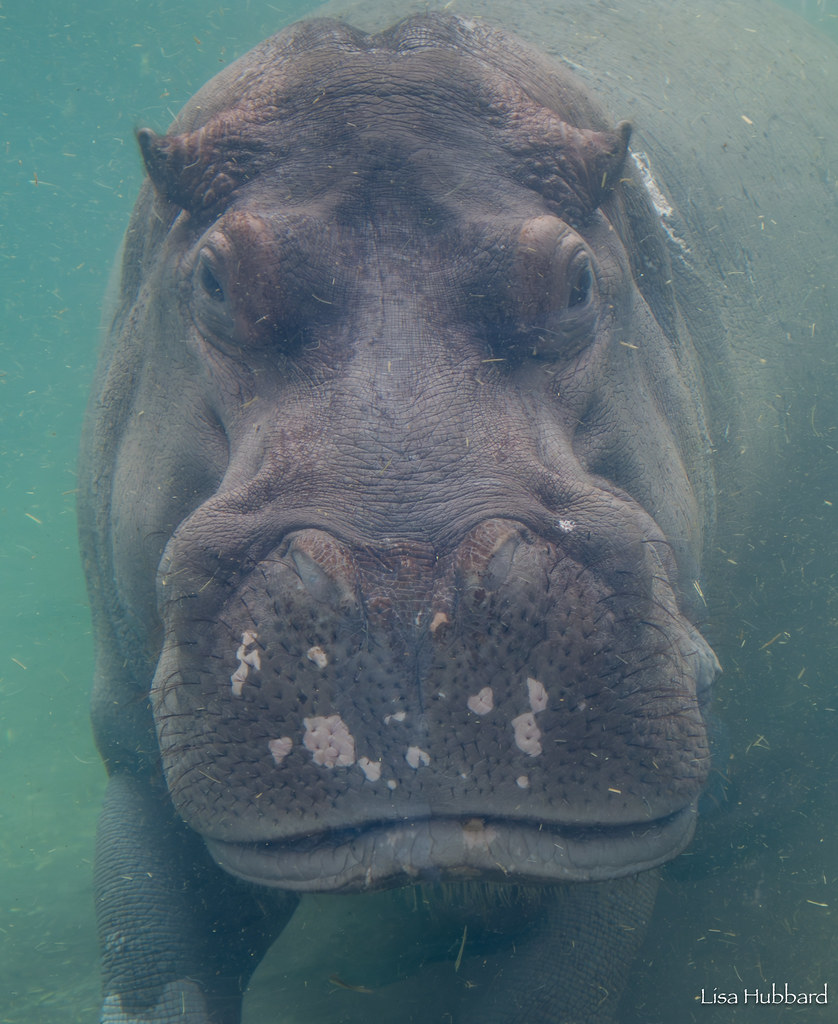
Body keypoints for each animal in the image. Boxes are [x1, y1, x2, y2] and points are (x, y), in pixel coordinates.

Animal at [78, 1, 838, 1022]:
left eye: (578, 280)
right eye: (213, 279)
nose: (410, 601)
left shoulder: (623, 817)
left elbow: (555, 982)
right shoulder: (129, 748)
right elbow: (160, 964)